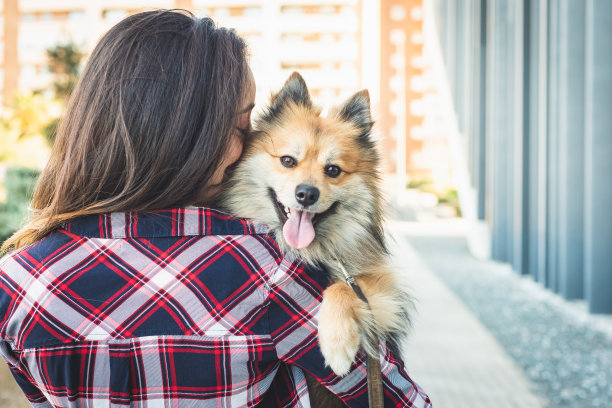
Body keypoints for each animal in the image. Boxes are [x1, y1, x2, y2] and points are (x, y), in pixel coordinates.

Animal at [220, 72, 412, 402]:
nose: (307, 194)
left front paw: (337, 344)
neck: (313, 250)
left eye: (333, 170)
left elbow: (342, 288)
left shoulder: (381, 289)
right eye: (288, 161)